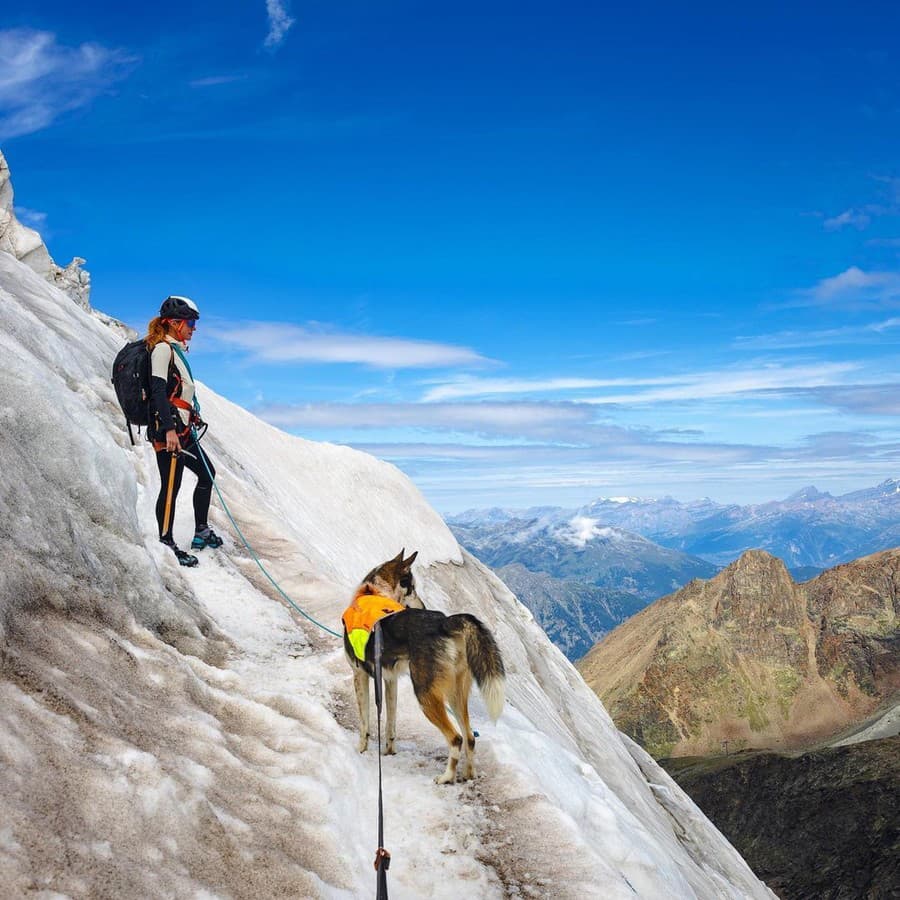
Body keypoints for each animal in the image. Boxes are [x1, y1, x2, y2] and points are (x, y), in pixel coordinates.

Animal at [342, 548, 502, 780]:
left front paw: (361, 750)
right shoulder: (390, 680)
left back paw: (446, 778)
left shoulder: (359, 674)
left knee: (456, 738)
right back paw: (468, 774)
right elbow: (390, 723)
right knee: (470, 737)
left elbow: (365, 724)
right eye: (412, 588)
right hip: (455, 692)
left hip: (425, 693)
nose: (424, 606)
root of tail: (444, 622)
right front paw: (389, 751)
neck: (374, 592)